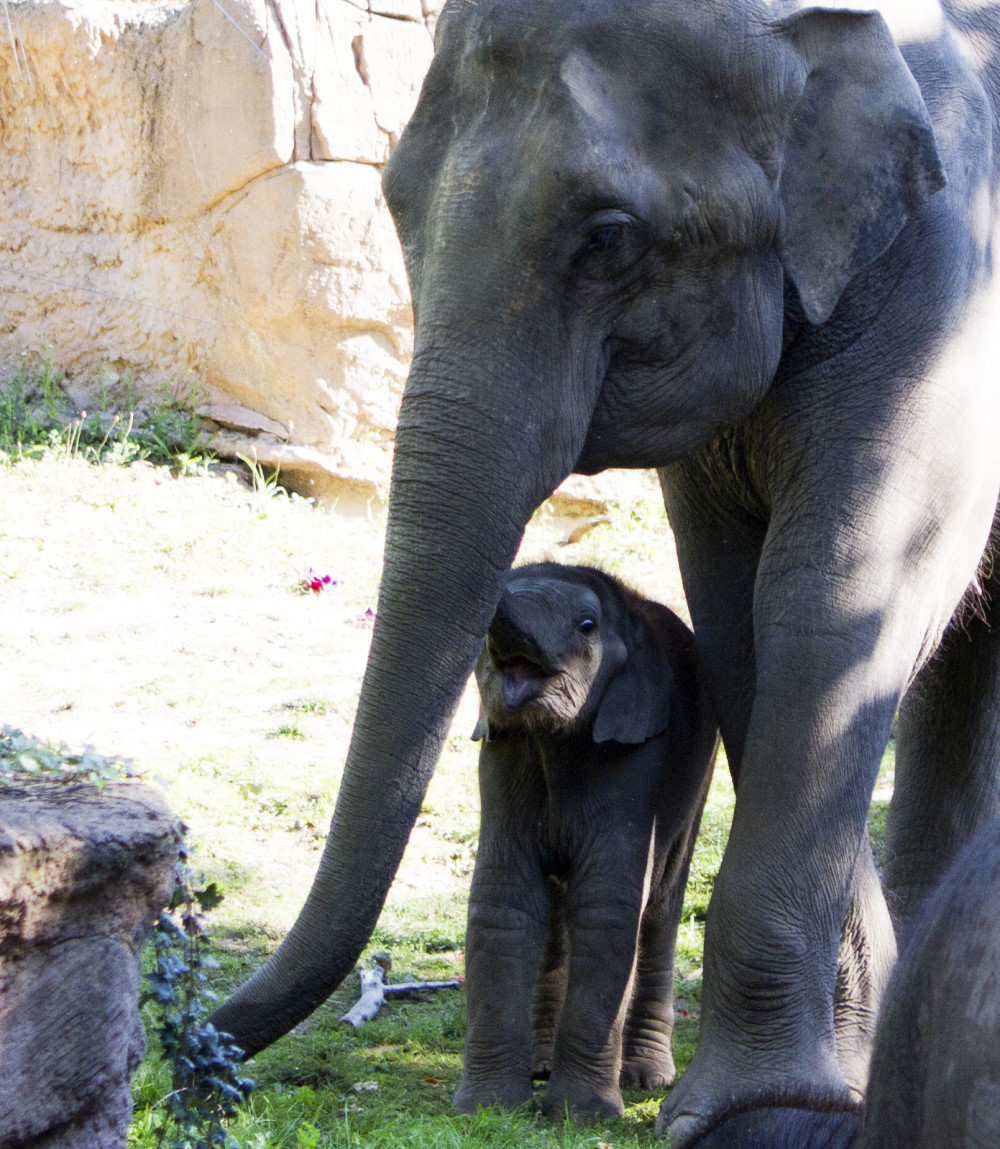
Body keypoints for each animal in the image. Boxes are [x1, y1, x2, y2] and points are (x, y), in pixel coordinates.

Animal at [455, 565, 721, 1121]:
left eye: (586, 625)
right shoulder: (504, 753)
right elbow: (504, 902)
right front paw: (488, 1111)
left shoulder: (639, 760)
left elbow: (607, 909)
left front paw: (582, 1116)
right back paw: (540, 1065)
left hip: (700, 770)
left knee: (662, 902)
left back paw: (645, 1077)